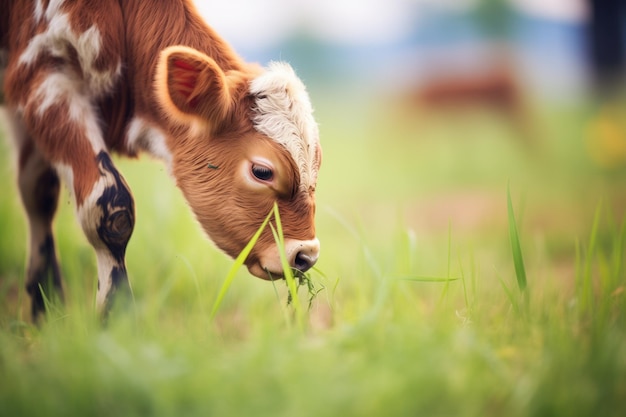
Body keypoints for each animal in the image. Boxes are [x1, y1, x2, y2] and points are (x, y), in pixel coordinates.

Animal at [1, 0, 322, 320]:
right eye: (262, 171)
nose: (306, 255)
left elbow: (38, 194)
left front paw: (44, 307)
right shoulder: (44, 79)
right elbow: (108, 204)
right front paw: (115, 315)